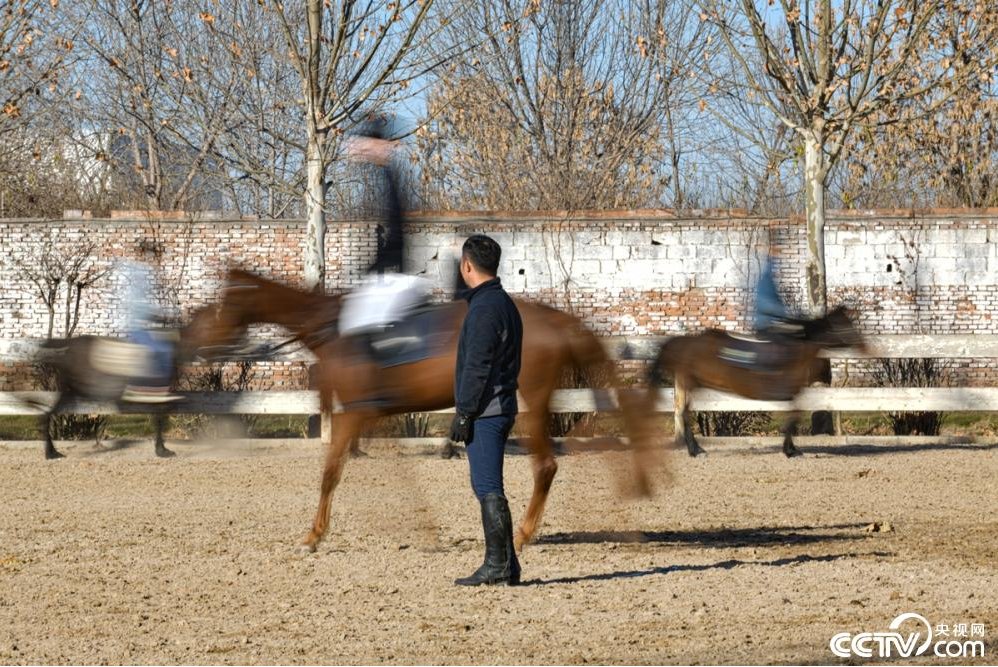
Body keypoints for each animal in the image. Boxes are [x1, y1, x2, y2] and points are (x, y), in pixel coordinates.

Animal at [198, 266, 660, 552]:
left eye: (224, 303)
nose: (204, 343)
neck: (335, 329)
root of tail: (556, 318)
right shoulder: (374, 417)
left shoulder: (354, 414)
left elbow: (330, 472)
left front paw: (313, 536)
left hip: (532, 402)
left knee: (546, 465)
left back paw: (523, 535)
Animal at [648, 308, 868, 460]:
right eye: (842, 324)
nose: (863, 346)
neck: (795, 353)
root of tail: (680, 342)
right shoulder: (788, 394)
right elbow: (793, 419)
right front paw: (790, 451)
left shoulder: (792, 395)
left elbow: (793, 418)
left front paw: (791, 449)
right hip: (689, 382)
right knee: (684, 415)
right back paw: (696, 450)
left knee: (684, 413)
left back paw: (695, 449)